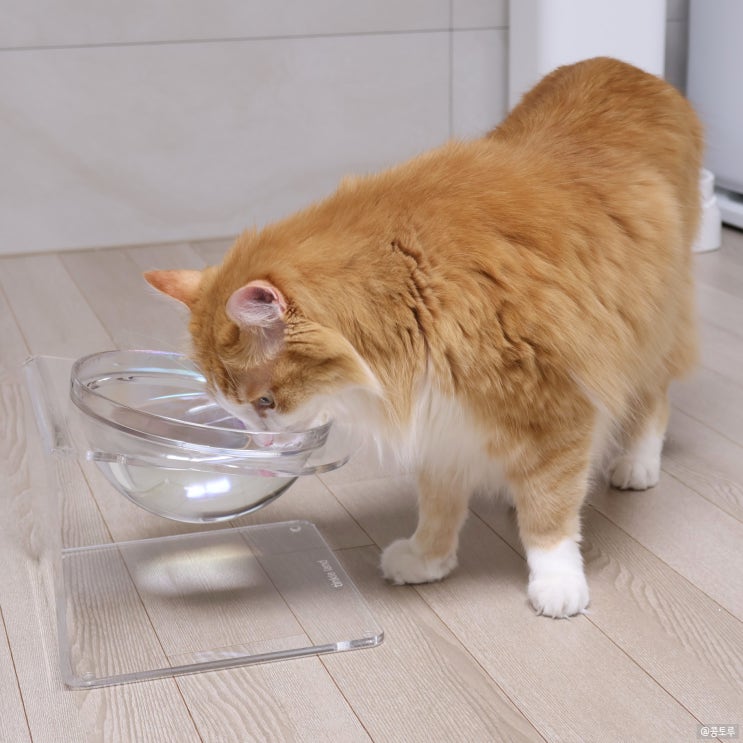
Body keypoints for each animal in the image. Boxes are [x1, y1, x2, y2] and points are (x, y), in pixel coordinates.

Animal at [145, 57, 702, 618]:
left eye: (265, 402)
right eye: (233, 406)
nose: (257, 445)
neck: (409, 284)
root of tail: (621, 65)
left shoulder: (556, 405)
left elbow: (550, 514)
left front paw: (557, 583)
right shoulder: (441, 416)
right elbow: (439, 505)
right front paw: (428, 560)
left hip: (653, 320)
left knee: (653, 397)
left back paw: (636, 464)